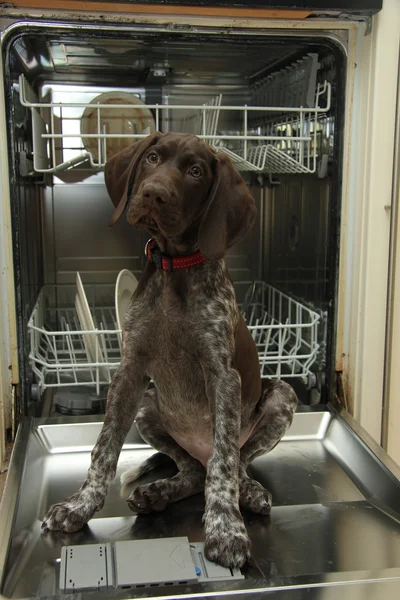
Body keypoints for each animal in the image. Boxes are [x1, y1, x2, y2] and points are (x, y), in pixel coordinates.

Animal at [42, 131, 296, 568]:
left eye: (195, 171)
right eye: (152, 158)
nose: (153, 193)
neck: (174, 267)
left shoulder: (223, 377)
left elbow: (225, 464)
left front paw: (225, 530)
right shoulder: (129, 374)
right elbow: (103, 450)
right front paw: (79, 506)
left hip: (282, 395)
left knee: (233, 463)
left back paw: (247, 491)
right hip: (148, 406)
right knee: (193, 471)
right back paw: (157, 492)